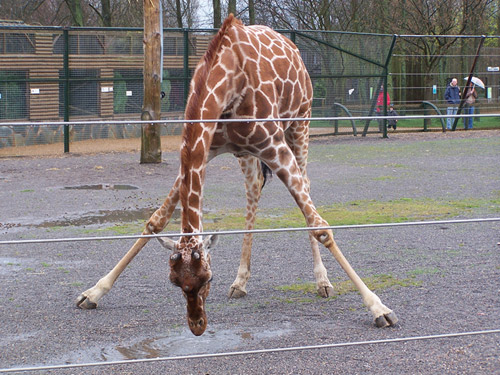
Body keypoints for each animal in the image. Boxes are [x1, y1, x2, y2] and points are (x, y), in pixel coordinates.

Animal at [76, 15, 396, 338]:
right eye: (175, 282)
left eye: (208, 279)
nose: (197, 326)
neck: (227, 78)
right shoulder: (207, 149)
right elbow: (156, 221)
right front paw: (94, 292)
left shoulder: (274, 145)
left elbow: (321, 226)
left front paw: (379, 308)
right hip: (246, 153)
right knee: (254, 189)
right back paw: (241, 281)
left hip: (300, 125)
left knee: (305, 190)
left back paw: (323, 282)